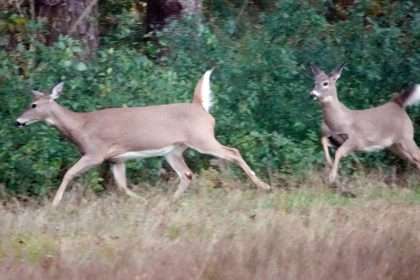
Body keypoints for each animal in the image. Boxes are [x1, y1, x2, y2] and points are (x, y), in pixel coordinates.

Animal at [15, 70, 270, 206]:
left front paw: (54, 203)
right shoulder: (116, 159)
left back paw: (263, 186)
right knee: (187, 174)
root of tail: (201, 107)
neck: (80, 126)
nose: (18, 121)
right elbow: (122, 186)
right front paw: (144, 201)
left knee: (233, 152)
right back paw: (170, 201)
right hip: (174, 150)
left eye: (33, 105)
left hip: (202, 138)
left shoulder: (96, 153)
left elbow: (68, 173)